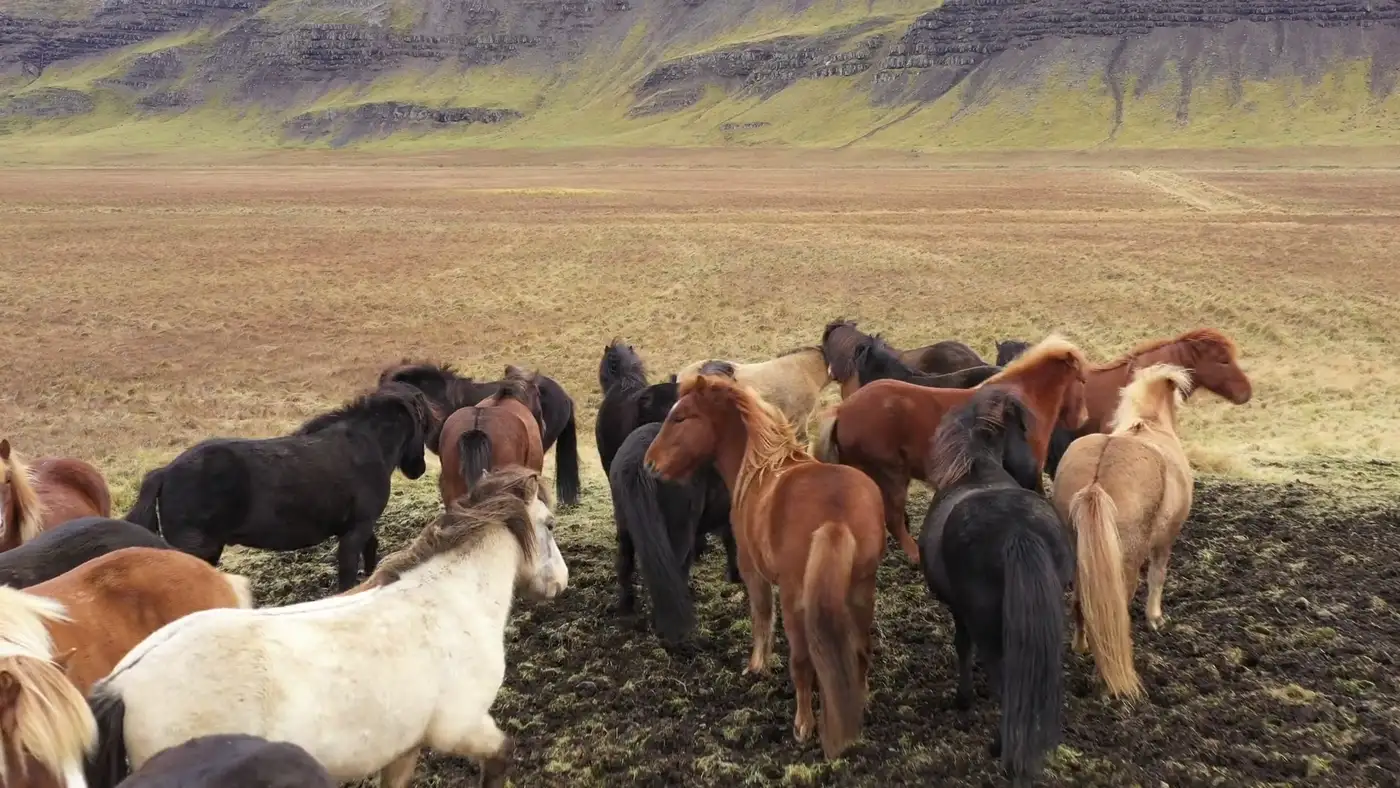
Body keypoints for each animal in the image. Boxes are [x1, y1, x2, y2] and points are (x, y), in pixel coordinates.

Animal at [85, 466, 568, 788]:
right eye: (549, 523)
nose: (560, 581)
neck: (452, 598)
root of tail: (122, 684)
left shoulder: (404, 747)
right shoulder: (461, 726)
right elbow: (501, 756)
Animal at [124, 383, 432, 592]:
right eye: (423, 423)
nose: (419, 469)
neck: (366, 446)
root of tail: (164, 473)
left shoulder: (359, 526)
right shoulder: (355, 530)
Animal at [644, 374, 885, 759]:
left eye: (680, 418)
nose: (650, 464)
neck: (759, 470)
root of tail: (837, 517)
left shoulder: (752, 570)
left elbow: (760, 617)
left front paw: (757, 666)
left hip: (796, 602)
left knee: (802, 662)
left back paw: (803, 725)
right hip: (861, 593)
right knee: (860, 653)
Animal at [918, 387, 1073, 786]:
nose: (1036, 473)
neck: (976, 470)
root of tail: (1018, 531)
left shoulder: (960, 613)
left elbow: (962, 647)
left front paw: (964, 699)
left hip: (990, 630)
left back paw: (1000, 748)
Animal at [1051, 364, 1196, 700]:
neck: (1149, 425)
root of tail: (1095, 483)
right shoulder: (1165, 541)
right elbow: (1158, 576)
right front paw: (1155, 618)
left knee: (1082, 605)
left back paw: (1081, 648)